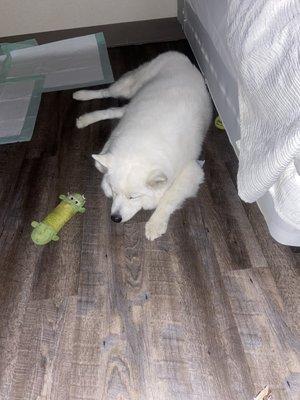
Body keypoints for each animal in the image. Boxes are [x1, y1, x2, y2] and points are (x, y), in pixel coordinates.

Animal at [73, 51, 211, 239]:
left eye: (133, 197)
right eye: (115, 192)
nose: (115, 218)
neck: (144, 144)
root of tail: (181, 57)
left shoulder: (192, 171)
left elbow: (169, 197)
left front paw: (155, 224)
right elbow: (100, 161)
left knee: (116, 110)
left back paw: (85, 117)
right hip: (129, 88)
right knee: (106, 93)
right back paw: (81, 97)